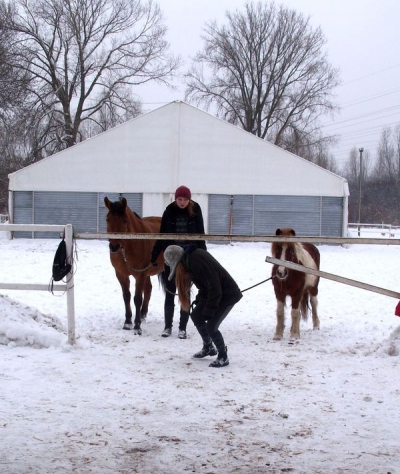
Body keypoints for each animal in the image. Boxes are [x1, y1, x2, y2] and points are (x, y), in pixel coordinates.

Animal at [104, 198, 166, 336]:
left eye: (125, 220)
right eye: (107, 219)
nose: (114, 246)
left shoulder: (140, 274)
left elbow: (137, 298)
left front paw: (137, 326)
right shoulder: (121, 274)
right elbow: (126, 296)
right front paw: (127, 322)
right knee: (148, 289)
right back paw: (143, 314)